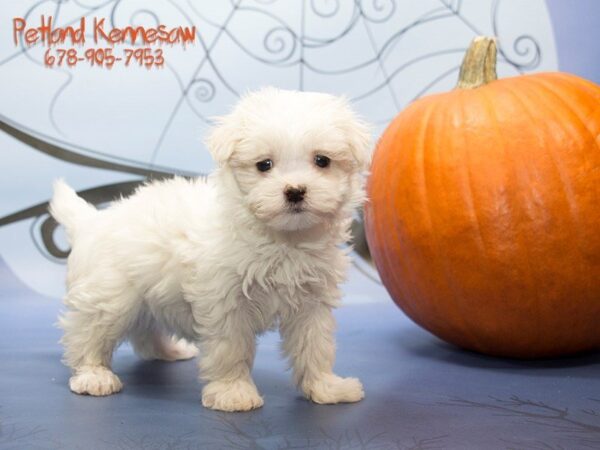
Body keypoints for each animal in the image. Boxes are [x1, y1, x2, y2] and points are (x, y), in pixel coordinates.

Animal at [50, 87, 370, 412]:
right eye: (264, 165)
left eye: (322, 161)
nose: (295, 191)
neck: (283, 239)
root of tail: (91, 221)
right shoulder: (224, 299)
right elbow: (231, 348)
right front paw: (233, 392)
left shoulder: (312, 301)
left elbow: (315, 345)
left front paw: (326, 387)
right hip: (111, 295)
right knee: (88, 334)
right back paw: (93, 375)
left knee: (144, 331)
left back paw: (169, 350)